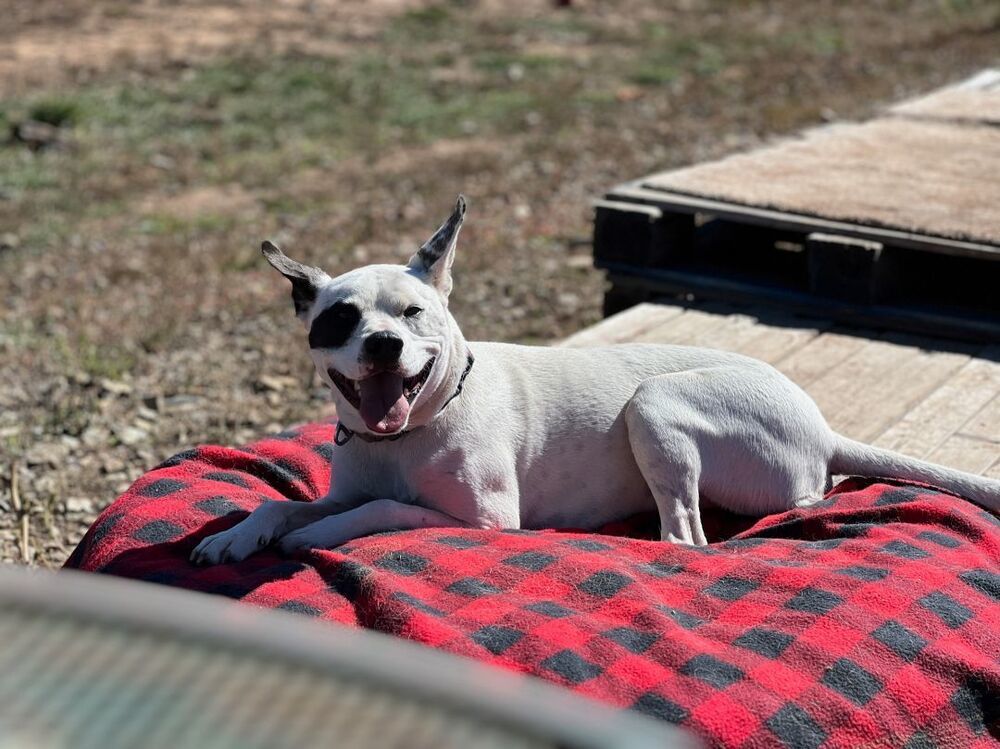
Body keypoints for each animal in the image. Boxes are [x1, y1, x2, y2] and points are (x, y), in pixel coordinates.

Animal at [189, 196, 1000, 564]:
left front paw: (315, 534)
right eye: (340, 318)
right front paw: (241, 534)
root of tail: (824, 429)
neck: (413, 429)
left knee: (686, 537)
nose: (385, 345)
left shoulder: (486, 520)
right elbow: (283, 503)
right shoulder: (351, 479)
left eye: (415, 313)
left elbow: (377, 511)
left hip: (657, 404)